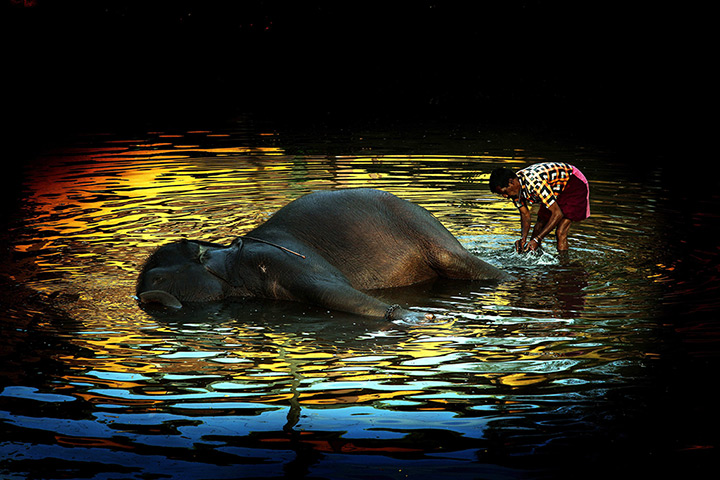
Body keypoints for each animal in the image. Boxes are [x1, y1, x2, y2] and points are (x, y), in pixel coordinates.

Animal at [136, 188, 513, 322]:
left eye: (158, 277)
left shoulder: (280, 256)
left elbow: (333, 289)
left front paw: (417, 319)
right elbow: (327, 295)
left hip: (419, 223)